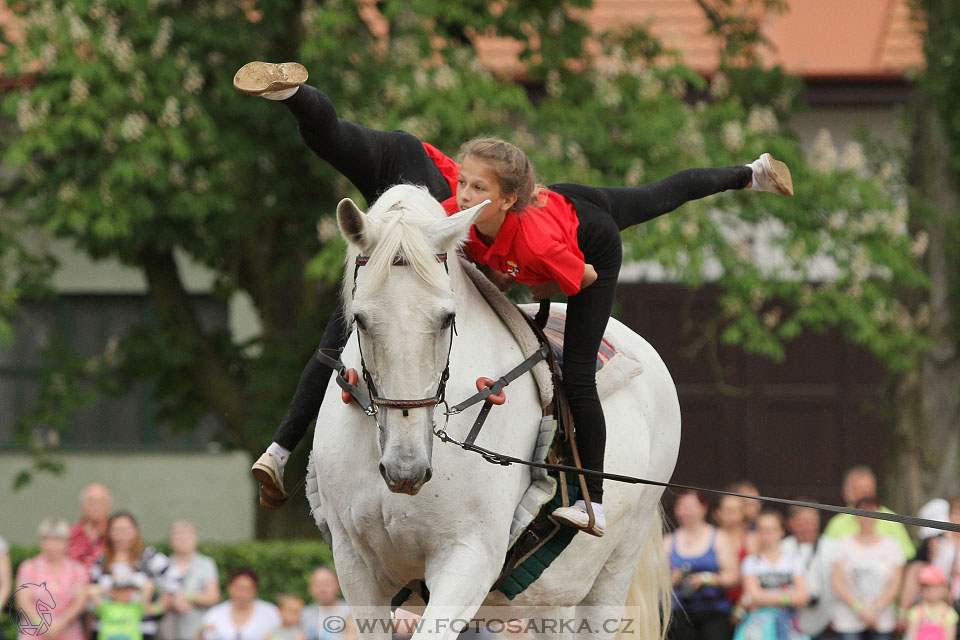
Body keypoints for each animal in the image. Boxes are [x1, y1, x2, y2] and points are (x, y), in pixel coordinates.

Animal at [312, 185, 680, 640]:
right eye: (361, 319)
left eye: (447, 317)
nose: (405, 469)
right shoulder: (356, 567)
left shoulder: (468, 558)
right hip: (551, 600)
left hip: (613, 573)